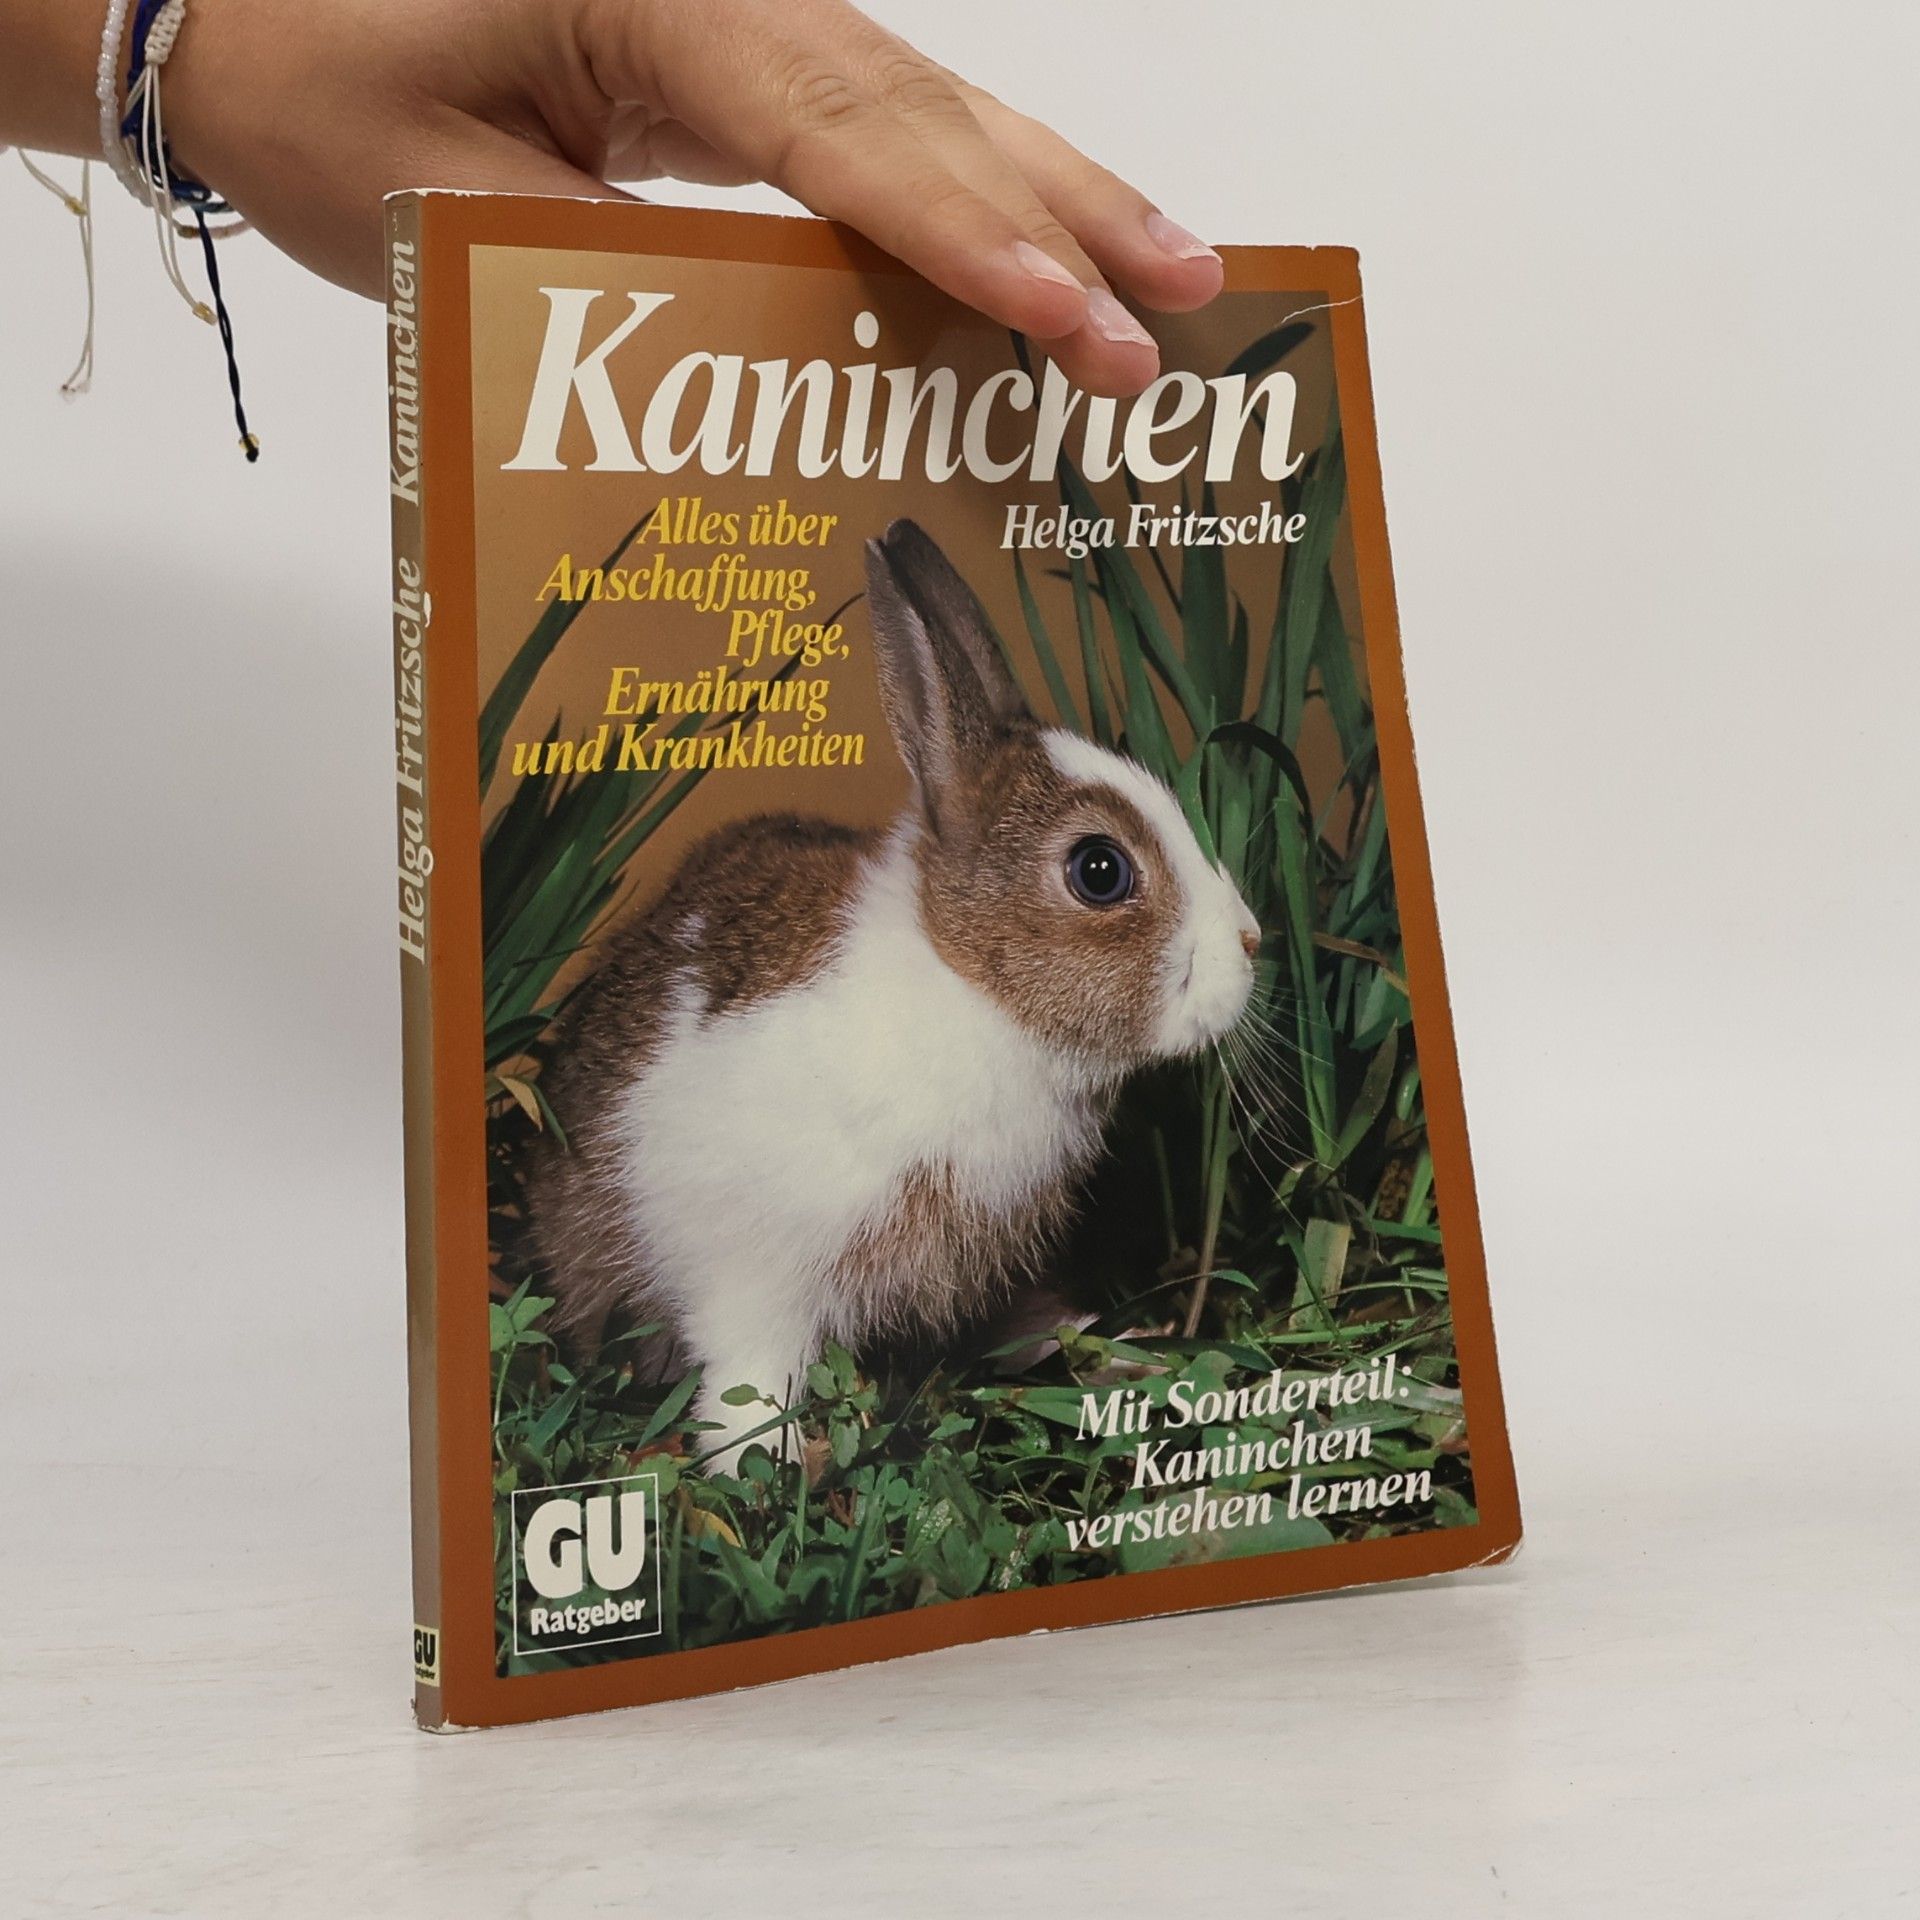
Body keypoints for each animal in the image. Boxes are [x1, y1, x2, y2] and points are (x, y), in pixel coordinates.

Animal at [529, 517, 1261, 1469]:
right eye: (1100, 871)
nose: (1252, 945)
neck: (971, 987)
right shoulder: (758, 1275)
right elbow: (749, 1384)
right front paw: (766, 1470)